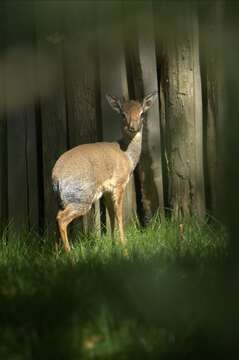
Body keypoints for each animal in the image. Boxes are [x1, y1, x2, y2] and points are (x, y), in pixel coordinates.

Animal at [51, 91, 158, 252]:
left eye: (142, 113)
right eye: (123, 114)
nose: (133, 128)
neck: (127, 155)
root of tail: (56, 176)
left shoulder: (106, 191)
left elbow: (111, 215)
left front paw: (114, 244)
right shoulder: (119, 185)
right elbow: (119, 214)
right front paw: (124, 246)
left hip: (63, 201)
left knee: (56, 217)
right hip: (83, 199)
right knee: (61, 218)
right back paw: (70, 254)